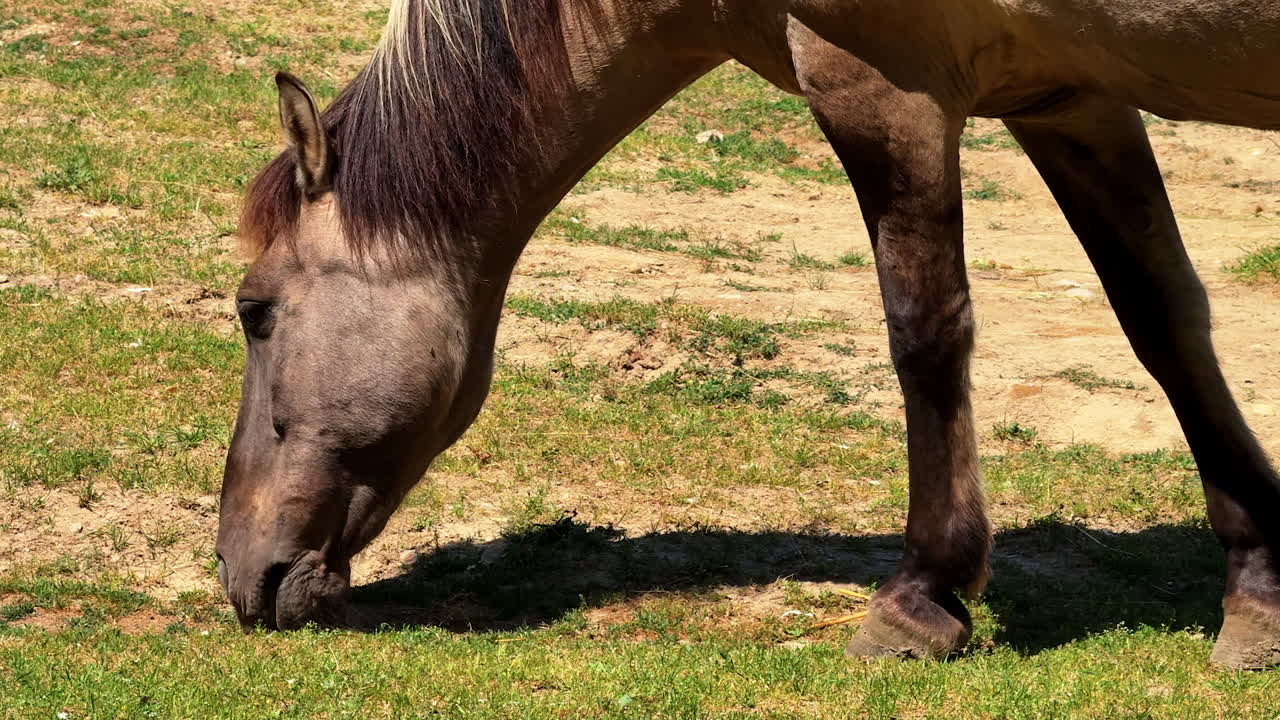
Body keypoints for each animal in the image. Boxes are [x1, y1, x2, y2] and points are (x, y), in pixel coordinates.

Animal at [216, 0, 1280, 668]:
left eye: (253, 310)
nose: (238, 570)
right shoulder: (1071, 97)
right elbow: (1165, 322)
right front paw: (1257, 587)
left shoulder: (880, 87)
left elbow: (925, 333)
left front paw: (922, 597)